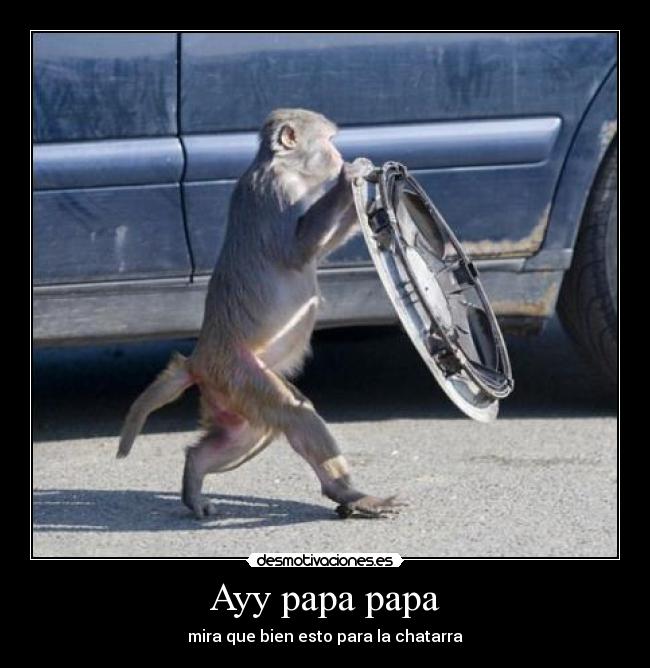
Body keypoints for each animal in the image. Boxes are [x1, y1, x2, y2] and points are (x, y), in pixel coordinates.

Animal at [118, 108, 402, 519]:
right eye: (329, 142)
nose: (338, 156)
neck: (282, 167)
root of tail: (199, 358)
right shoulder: (276, 193)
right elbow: (299, 250)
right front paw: (350, 177)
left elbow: (314, 252)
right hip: (237, 372)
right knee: (295, 414)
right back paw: (349, 493)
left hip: (231, 388)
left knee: (248, 432)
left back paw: (195, 472)